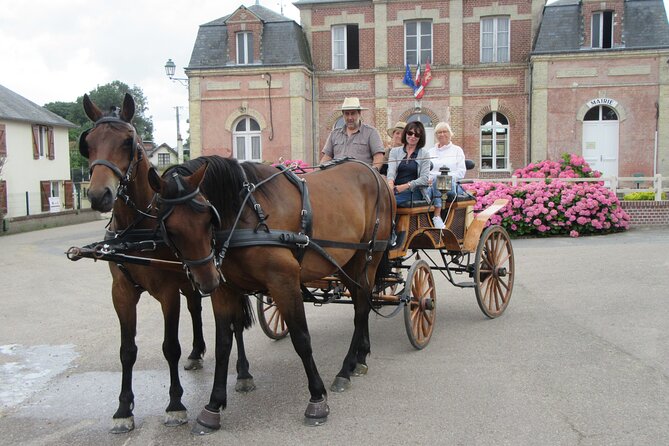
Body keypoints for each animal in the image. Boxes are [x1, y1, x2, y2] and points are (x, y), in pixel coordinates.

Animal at [81, 93, 253, 432]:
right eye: (89, 143)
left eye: (128, 142)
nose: (98, 195)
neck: (136, 230)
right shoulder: (121, 292)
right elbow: (127, 350)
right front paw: (123, 410)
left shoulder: (167, 292)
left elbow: (170, 347)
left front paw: (175, 405)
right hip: (193, 279)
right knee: (196, 308)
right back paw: (197, 352)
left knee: (236, 322)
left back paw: (242, 372)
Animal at [149, 156, 394, 432]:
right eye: (169, 228)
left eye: (207, 218)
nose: (207, 280)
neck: (245, 212)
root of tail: (373, 173)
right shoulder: (224, 290)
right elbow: (223, 345)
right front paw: (213, 406)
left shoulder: (284, 281)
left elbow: (301, 339)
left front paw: (317, 399)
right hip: (346, 263)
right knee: (361, 305)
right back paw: (360, 357)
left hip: (367, 258)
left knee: (361, 308)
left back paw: (346, 368)